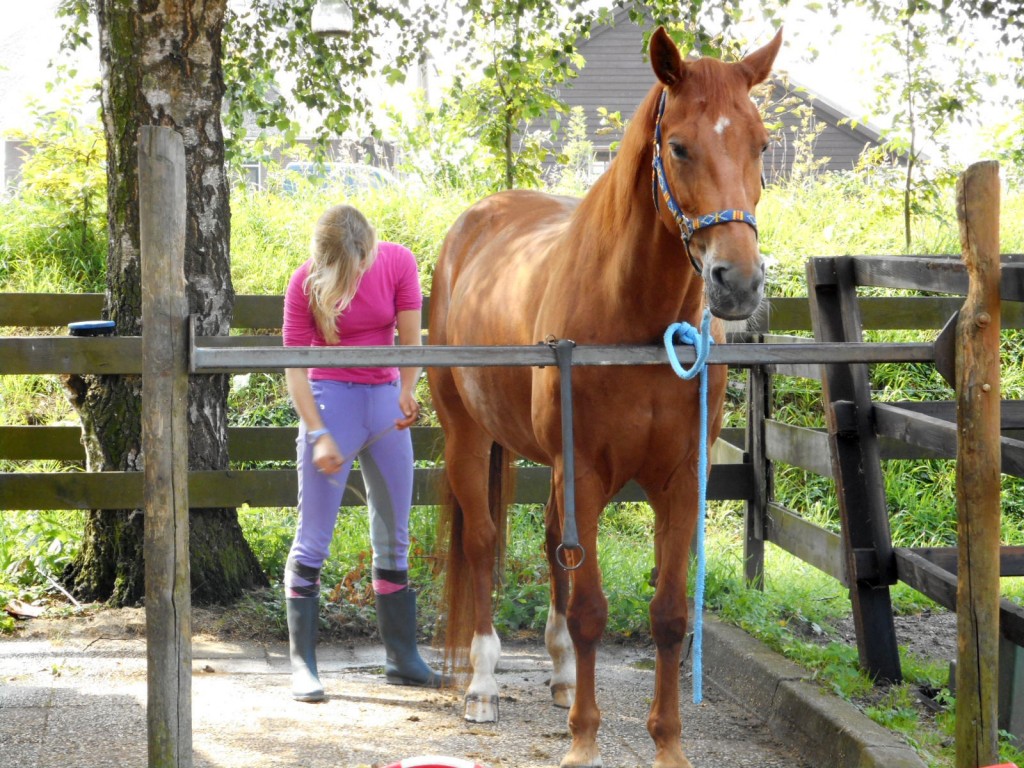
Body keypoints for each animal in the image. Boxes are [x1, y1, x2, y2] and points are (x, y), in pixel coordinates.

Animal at [426, 27, 782, 768]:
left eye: (762, 145)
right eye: (679, 146)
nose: (737, 283)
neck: (637, 324)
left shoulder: (681, 480)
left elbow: (669, 615)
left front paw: (668, 744)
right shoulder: (586, 471)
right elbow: (592, 609)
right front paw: (584, 741)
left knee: (548, 543)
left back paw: (562, 675)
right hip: (468, 435)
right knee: (483, 543)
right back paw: (482, 684)